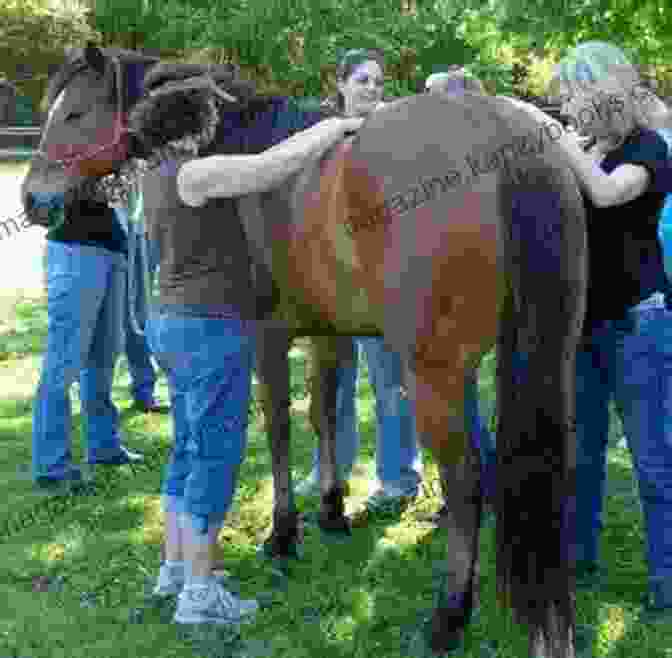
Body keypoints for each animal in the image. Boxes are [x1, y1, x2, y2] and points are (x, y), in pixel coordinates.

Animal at [22, 43, 588, 652]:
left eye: (75, 113)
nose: (31, 199)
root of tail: (499, 134)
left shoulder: (267, 336)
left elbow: (277, 425)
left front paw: (283, 531)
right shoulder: (328, 332)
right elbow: (323, 415)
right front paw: (333, 508)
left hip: (435, 374)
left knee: (465, 483)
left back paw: (449, 616)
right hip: (546, 357)